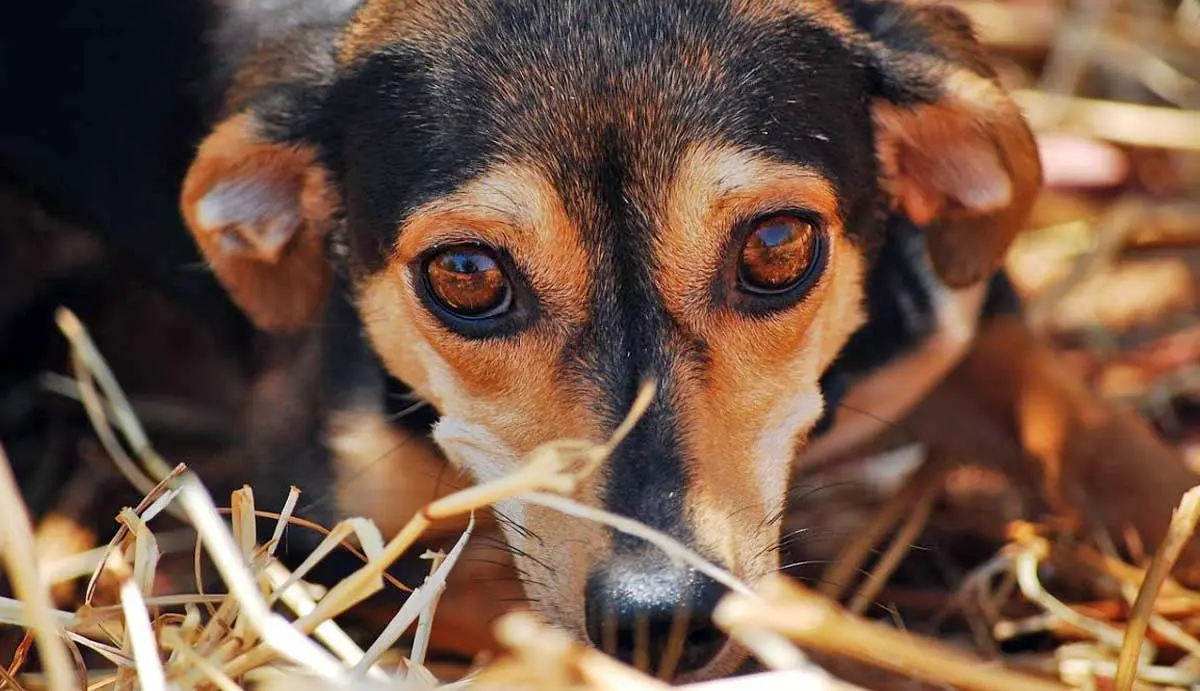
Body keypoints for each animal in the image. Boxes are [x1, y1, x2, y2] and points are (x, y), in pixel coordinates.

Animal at [7, 0, 1200, 681]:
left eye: (778, 246)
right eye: (467, 275)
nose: (658, 619)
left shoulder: (959, 324)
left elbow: (1121, 453)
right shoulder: (335, 545)